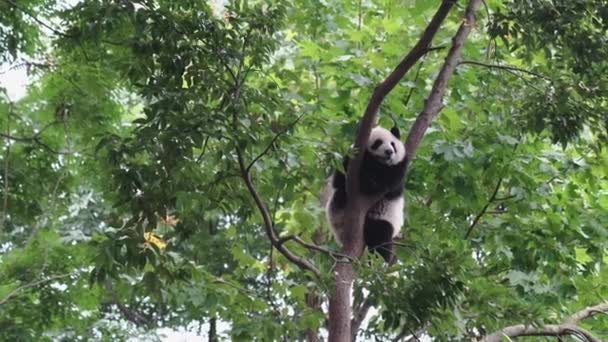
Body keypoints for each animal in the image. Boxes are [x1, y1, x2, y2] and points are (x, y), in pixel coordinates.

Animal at [326, 125, 406, 262]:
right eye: (377, 143)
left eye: (393, 144)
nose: (389, 152)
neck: (378, 164)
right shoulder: (350, 160)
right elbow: (339, 181)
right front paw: (367, 178)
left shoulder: (398, 169)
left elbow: (390, 184)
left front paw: (371, 181)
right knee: (340, 194)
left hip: (384, 218)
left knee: (380, 234)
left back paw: (380, 259)